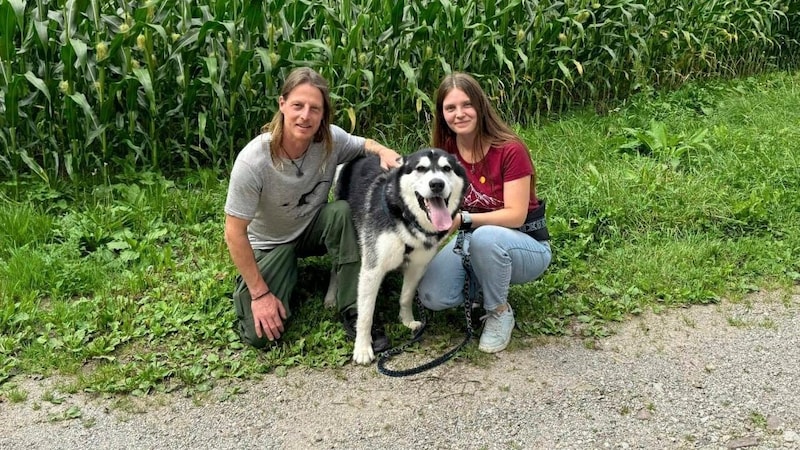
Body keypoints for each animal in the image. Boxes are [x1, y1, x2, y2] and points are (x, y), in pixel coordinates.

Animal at [324, 149, 468, 366]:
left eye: (446, 168)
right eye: (421, 168)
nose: (437, 184)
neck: (405, 219)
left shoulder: (417, 266)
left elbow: (406, 296)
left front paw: (407, 321)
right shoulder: (372, 269)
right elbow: (365, 314)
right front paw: (363, 348)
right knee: (335, 270)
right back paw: (331, 297)